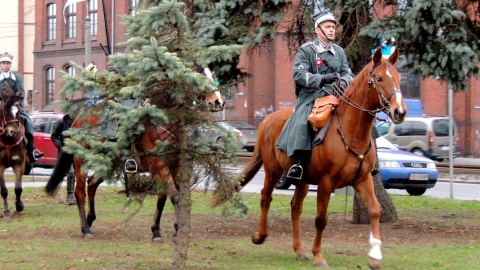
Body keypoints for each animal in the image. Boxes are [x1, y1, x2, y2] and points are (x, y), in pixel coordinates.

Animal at [216, 48, 406, 268]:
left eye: (399, 77)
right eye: (379, 78)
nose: (399, 111)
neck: (350, 132)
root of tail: (267, 120)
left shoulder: (363, 179)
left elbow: (375, 210)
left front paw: (374, 256)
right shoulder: (326, 183)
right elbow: (321, 219)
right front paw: (319, 256)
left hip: (303, 180)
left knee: (295, 208)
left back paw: (299, 250)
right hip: (273, 171)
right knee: (266, 198)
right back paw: (260, 236)